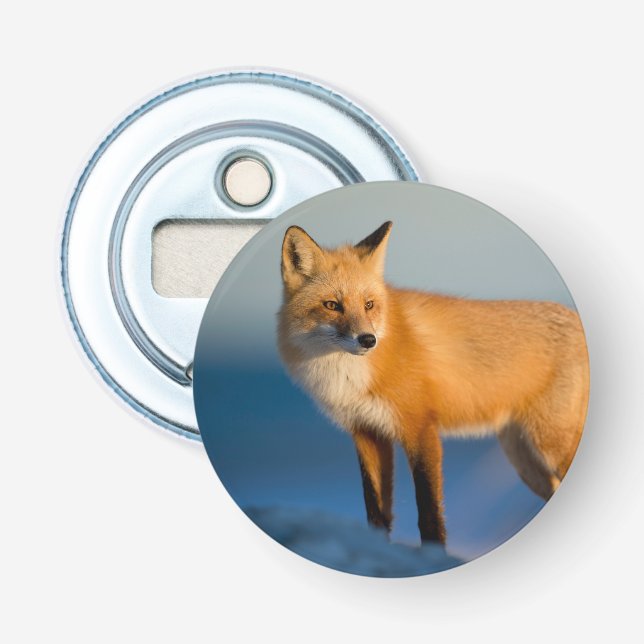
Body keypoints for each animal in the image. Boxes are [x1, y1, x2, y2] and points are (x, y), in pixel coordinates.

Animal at [277, 221, 589, 544]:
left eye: (369, 305)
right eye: (332, 305)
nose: (368, 340)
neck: (350, 376)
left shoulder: (420, 427)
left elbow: (428, 512)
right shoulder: (367, 432)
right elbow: (376, 510)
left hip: (550, 446)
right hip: (526, 461)